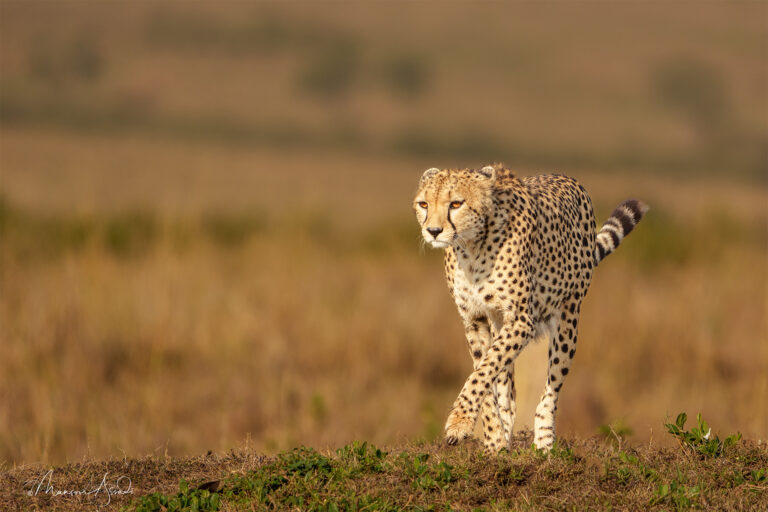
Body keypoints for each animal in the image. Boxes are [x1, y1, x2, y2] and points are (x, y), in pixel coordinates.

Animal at [414, 165, 648, 452]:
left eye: (456, 203)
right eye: (424, 204)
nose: (433, 231)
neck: (471, 247)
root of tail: (566, 177)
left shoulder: (521, 321)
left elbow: (482, 373)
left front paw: (460, 421)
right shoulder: (474, 319)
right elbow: (484, 372)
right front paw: (493, 439)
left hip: (568, 320)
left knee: (552, 387)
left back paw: (544, 441)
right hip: (501, 324)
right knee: (508, 392)